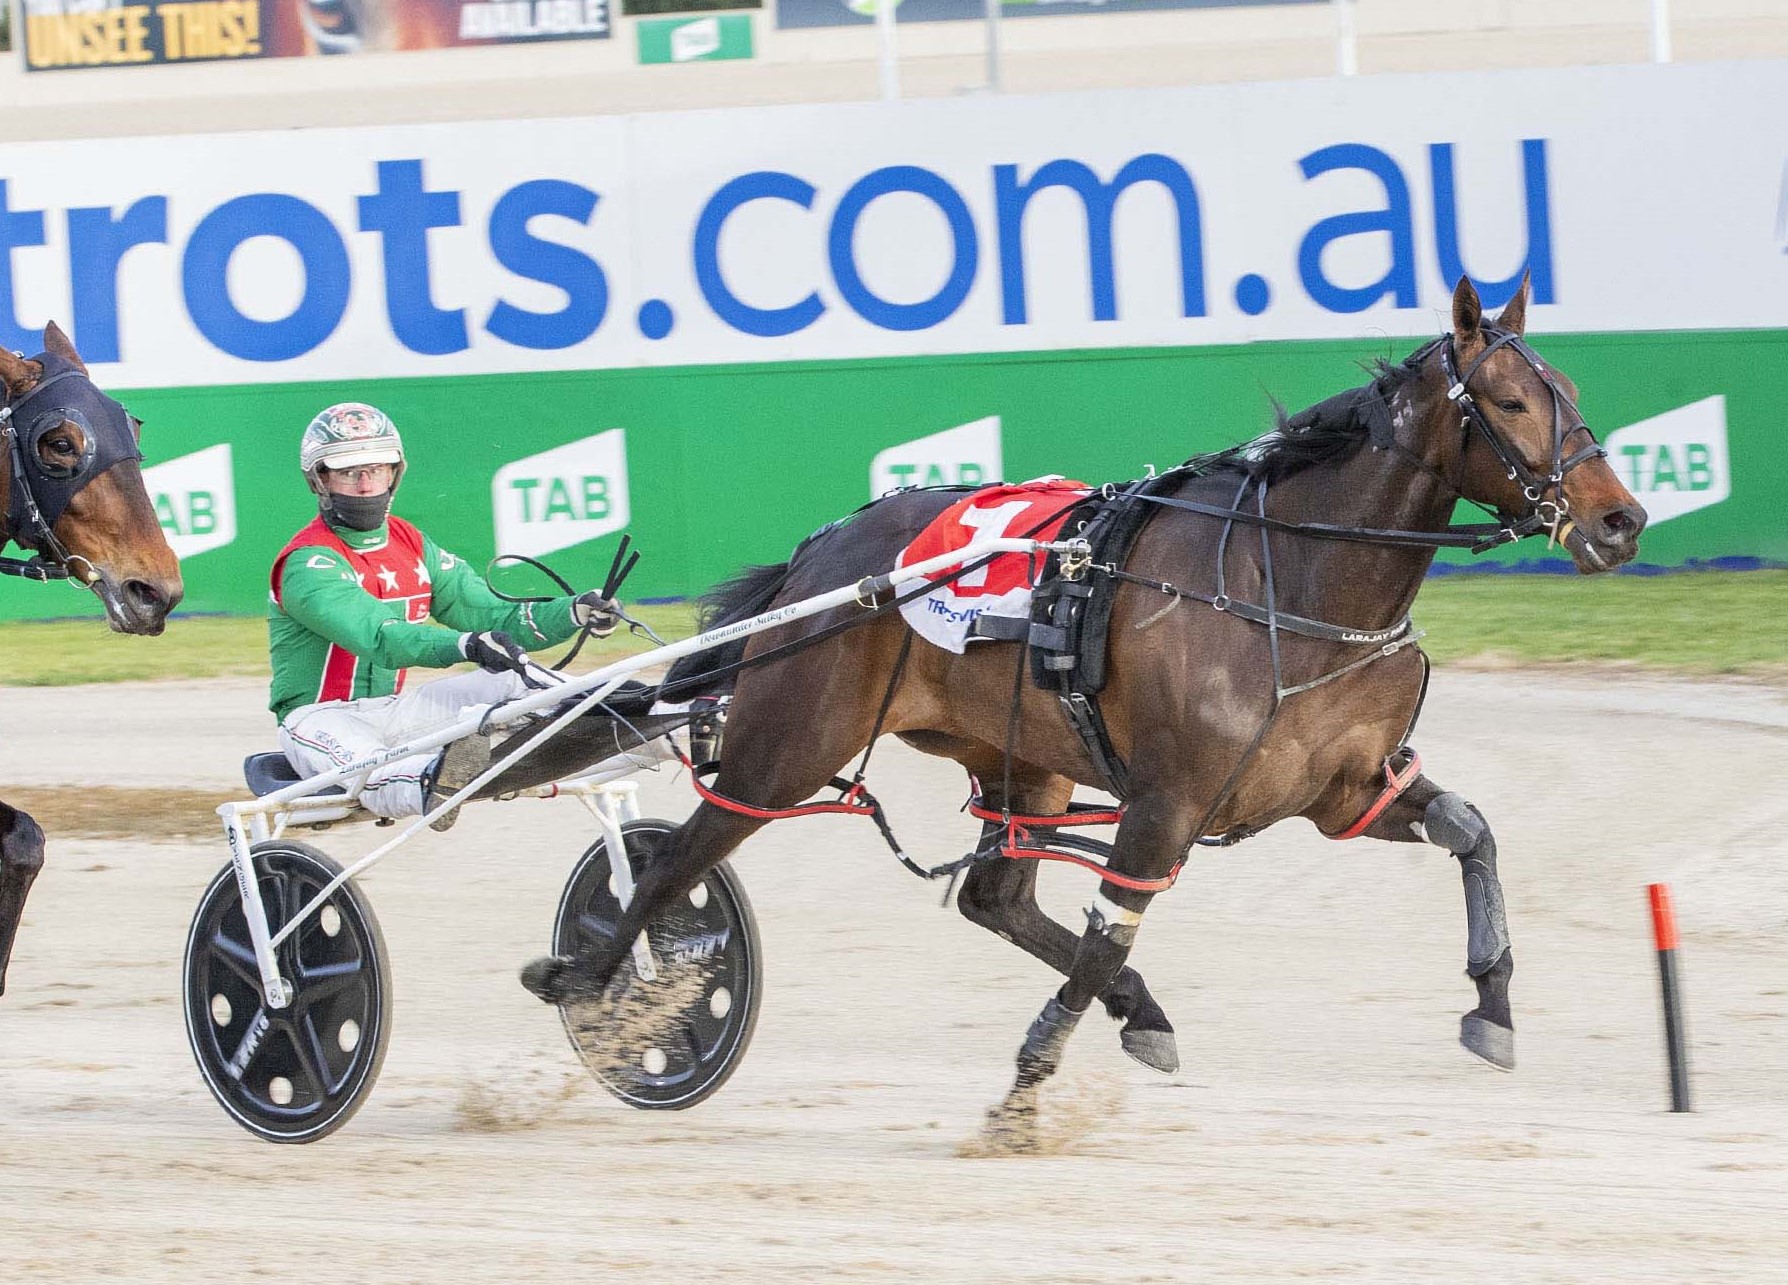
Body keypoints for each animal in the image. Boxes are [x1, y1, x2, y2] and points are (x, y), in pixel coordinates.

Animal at [519, 277, 1647, 1134]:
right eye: (1508, 402)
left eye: (1568, 387)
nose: (1620, 520)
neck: (1296, 580)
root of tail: (822, 552)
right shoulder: (1166, 804)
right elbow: (1112, 928)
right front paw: (1026, 1088)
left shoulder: (1345, 789)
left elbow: (1472, 831)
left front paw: (1493, 1000)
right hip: (786, 744)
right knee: (678, 857)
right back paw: (598, 985)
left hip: (1021, 757)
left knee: (994, 897)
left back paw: (1135, 1006)